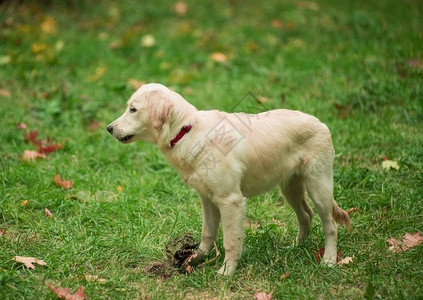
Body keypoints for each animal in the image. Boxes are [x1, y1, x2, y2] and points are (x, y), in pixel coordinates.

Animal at [107, 83, 352, 276]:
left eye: (133, 109)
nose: (109, 128)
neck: (187, 130)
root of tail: (322, 123)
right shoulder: (207, 199)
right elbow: (207, 234)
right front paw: (196, 259)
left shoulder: (230, 201)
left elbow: (230, 241)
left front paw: (226, 271)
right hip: (290, 188)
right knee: (306, 215)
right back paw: (295, 247)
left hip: (318, 186)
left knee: (330, 225)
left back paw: (329, 261)